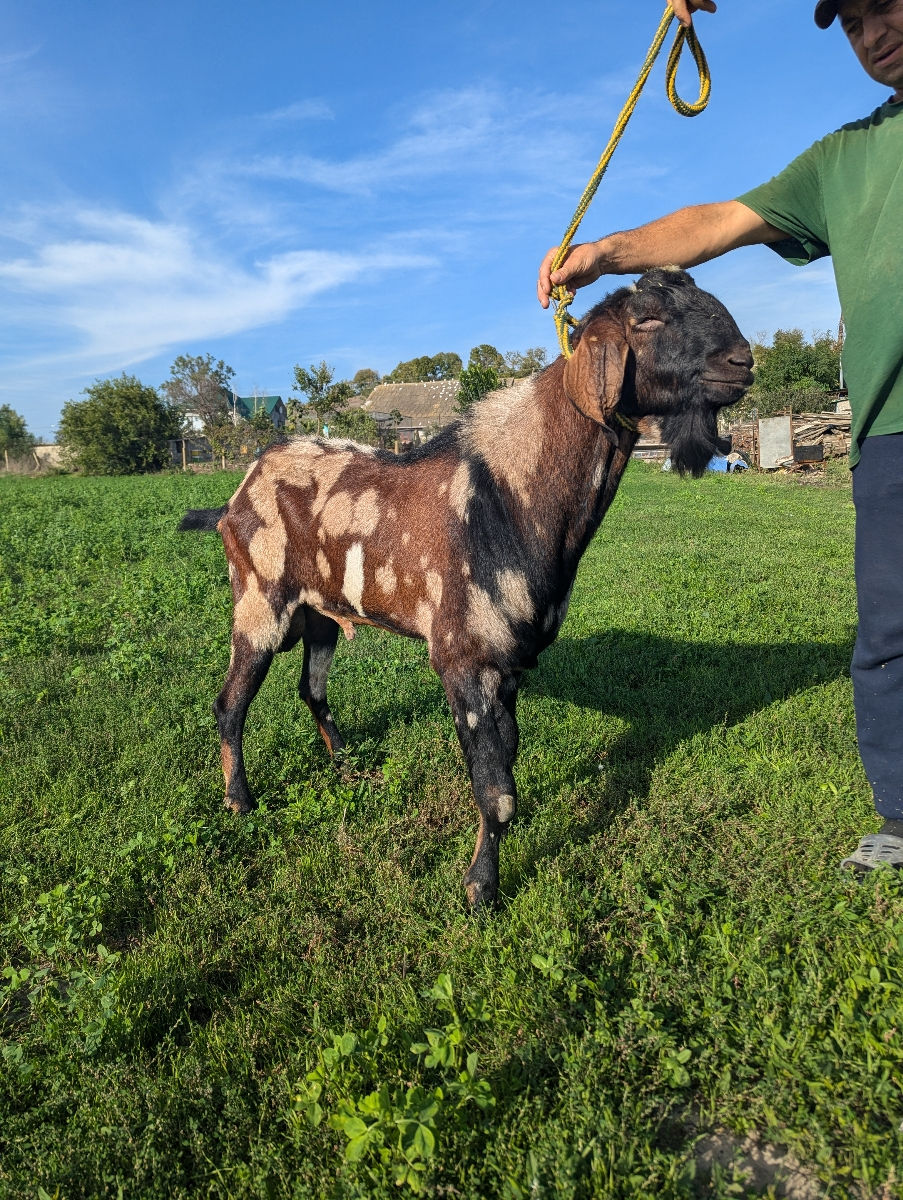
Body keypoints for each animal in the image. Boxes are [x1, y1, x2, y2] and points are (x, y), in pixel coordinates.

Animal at [180, 270, 749, 907]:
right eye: (646, 319)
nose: (742, 361)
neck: (509, 495)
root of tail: (234, 498)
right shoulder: (465, 659)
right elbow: (495, 790)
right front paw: (482, 887)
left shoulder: (509, 662)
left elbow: (508, 760)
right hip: (260, 603)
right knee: (230, 703)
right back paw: (239, 800)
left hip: (322, 614)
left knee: (312, 688)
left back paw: (346, 763)